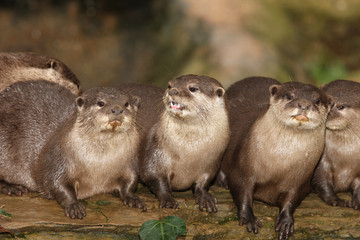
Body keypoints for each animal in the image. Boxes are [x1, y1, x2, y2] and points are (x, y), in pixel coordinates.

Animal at [0, 80, 146, 219]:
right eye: (101, 103)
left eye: (126, 103)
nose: (117, 109)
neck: (101, 163)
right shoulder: (58, 159)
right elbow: (57, 184)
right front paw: (74, 206)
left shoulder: (130, 163)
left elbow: (131, 181)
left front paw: (132, 198)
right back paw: (12, 188)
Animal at [139, 74, 229, 213]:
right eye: (169, 85)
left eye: (192, 88)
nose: (172, 91)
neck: (189, 149)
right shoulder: (155, 149)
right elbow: (154, 176)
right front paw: (168, 199)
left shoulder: (212, 161)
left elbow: (204, 182)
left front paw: (205, 197)